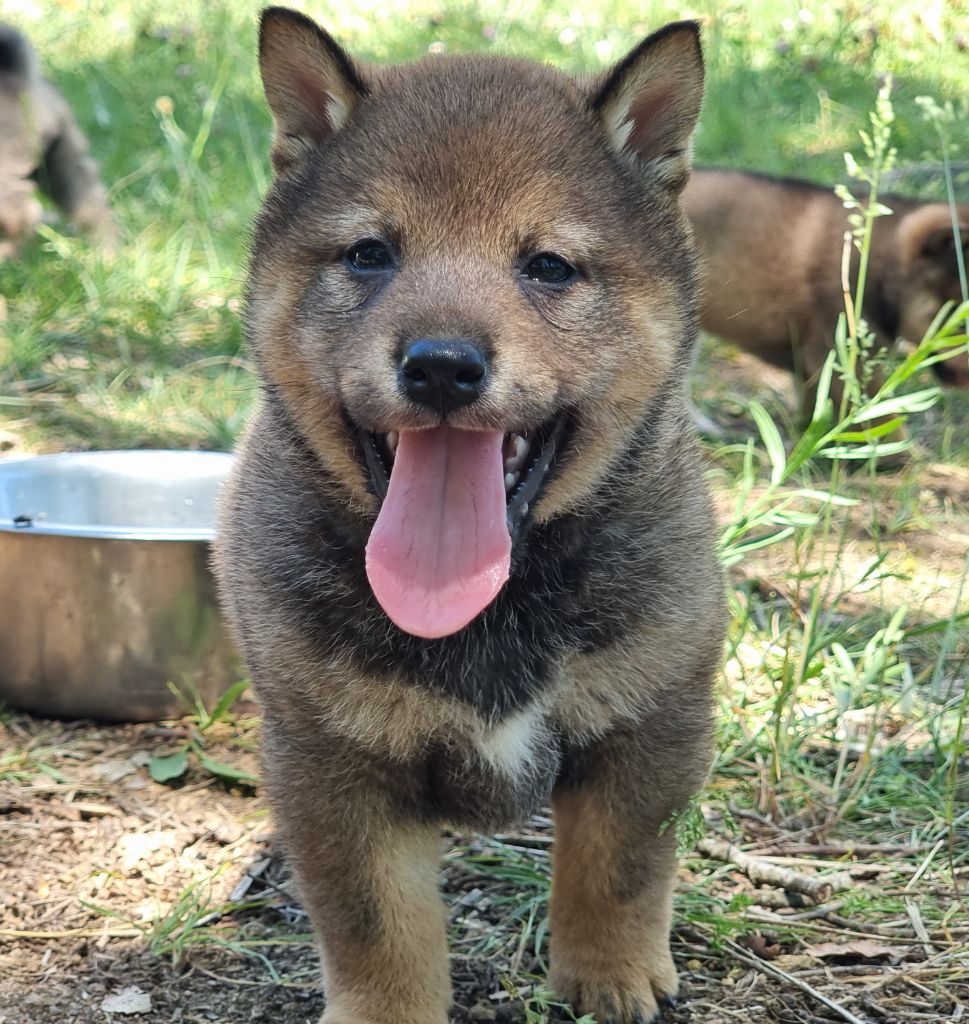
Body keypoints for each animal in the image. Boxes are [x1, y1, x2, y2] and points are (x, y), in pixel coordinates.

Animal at [213, 9, 725, 1024]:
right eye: (369, 253)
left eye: (549, 267)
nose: (442, 366)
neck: (485, 604)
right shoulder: (332, 764)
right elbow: (377, 927)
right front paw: (384, 1012)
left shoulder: (650, 721)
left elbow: (619, 872)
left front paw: (611, 979)